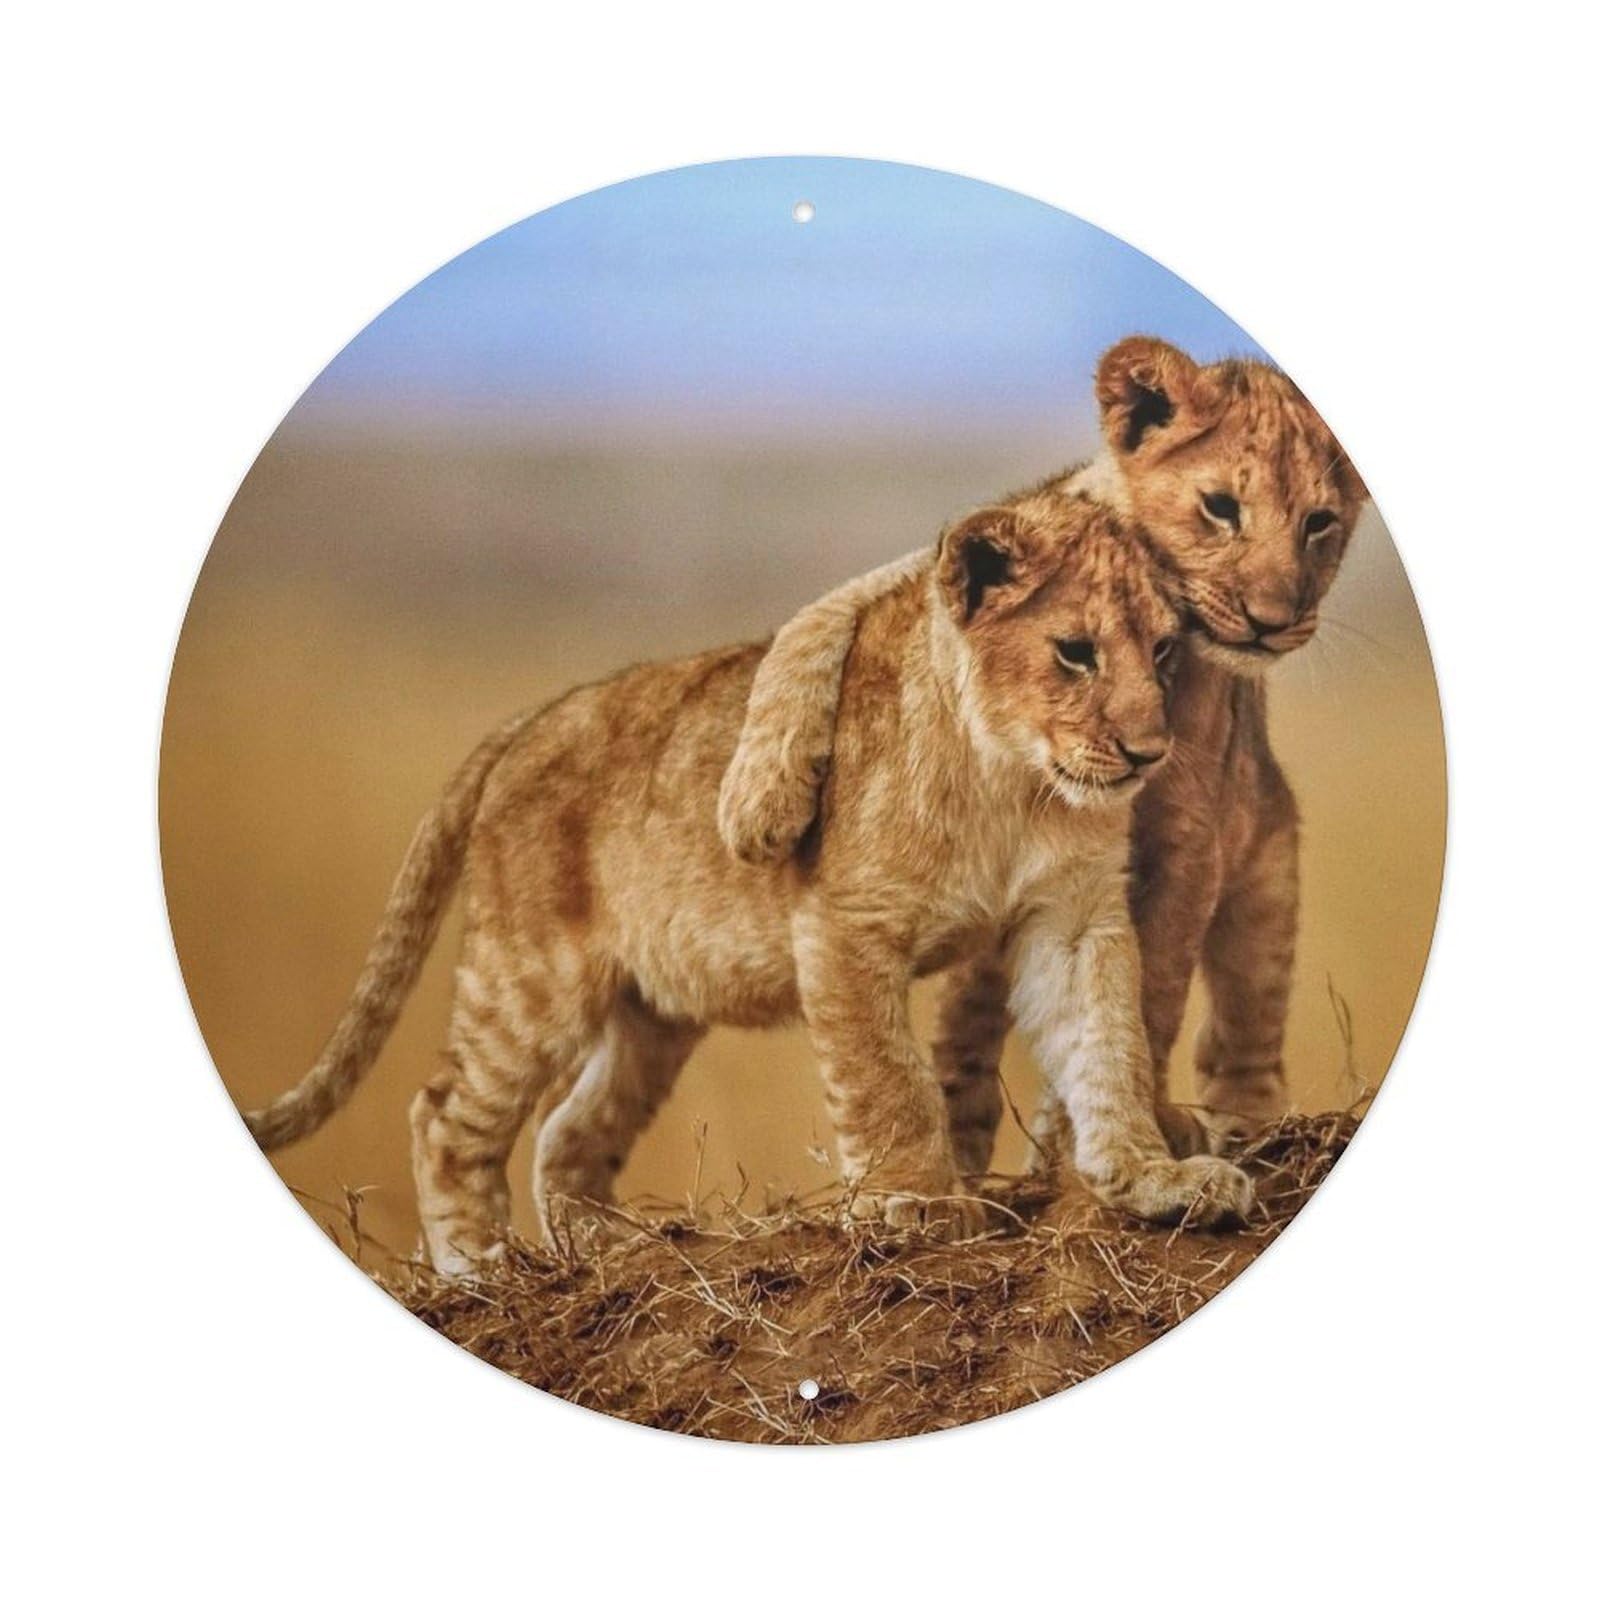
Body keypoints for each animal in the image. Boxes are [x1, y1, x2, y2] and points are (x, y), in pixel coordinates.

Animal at [243, 490, 1251, 1275]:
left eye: (1165, 652)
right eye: (1075, 652)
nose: (1147, 752)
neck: (1013, 783)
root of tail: (533, 718)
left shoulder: (1073, 918)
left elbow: (1109, 1046)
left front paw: (1154, 1178)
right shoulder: (845, 922)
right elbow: (887, 1079)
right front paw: (918, 1204)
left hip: (653, 1013)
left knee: (570, 1132)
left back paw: (609, 1249)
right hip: (529, 979)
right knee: (446, 1116)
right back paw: (480, 1267)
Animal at [717, 336, 1370, 1167]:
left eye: (1320, 523)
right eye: (1221, 507)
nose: (1272, 620)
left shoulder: (1191, 839)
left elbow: (1150, 991)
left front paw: (1111, 1133)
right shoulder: (947, 568)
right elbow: (817, 621)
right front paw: (759, 805)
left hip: (1267, 869)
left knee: (1244, 1026)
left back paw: (1239, 1127)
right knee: (966, 1026)